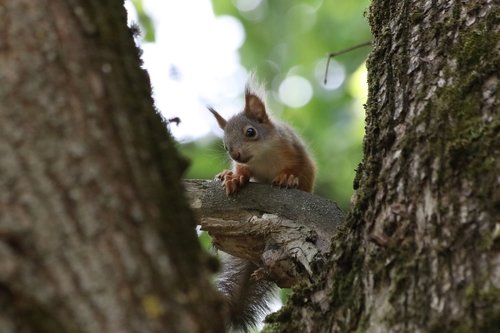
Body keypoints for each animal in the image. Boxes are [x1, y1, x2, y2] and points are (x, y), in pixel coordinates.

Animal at [208, 76, 316, 330]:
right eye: (225, 145)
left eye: (251, 131)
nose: (235, 154)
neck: (263, 157)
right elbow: (243, 172)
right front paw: (234, 177)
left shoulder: (294, 150)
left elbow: (298, 170)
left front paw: (287, 178)